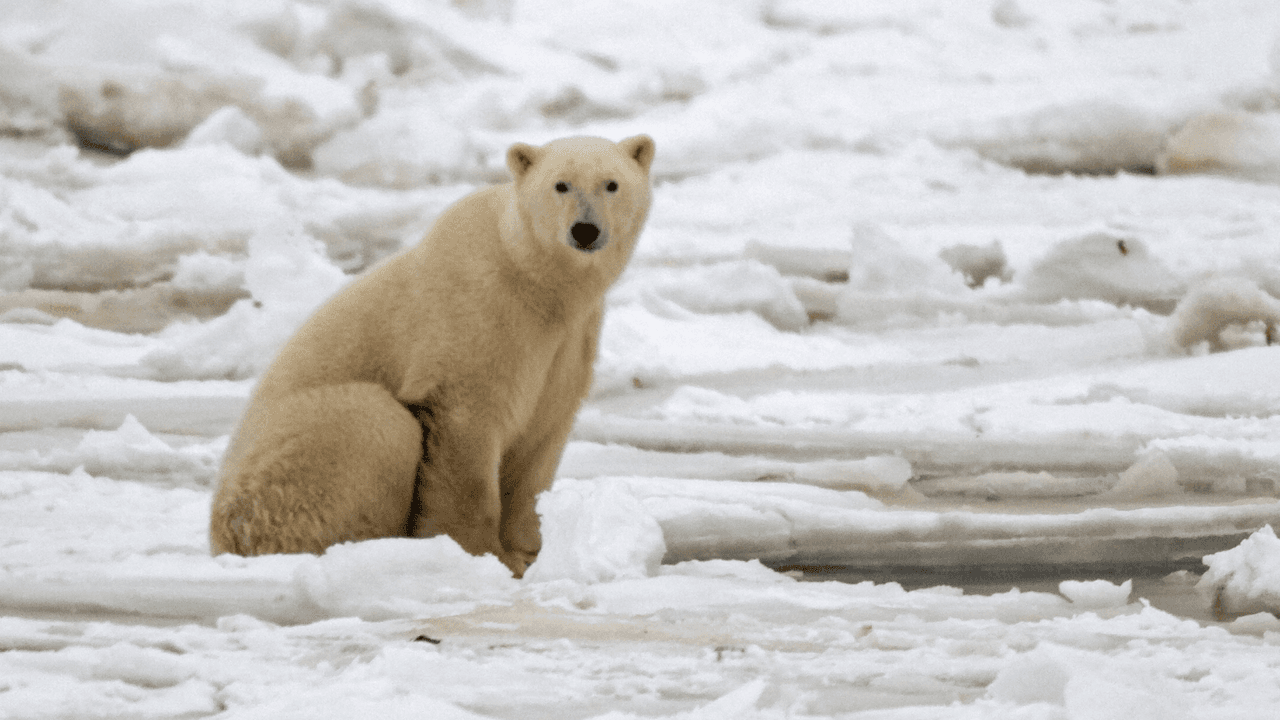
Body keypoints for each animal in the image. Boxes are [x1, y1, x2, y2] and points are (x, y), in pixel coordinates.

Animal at [209, 134, 655, 578]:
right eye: (561, 184)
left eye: (611, 184)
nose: (585, 230)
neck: (535, 280)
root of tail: (222, 538)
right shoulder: (478, 316)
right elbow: (465, 435)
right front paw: (486, 554)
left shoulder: (568, 343)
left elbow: (541, 437)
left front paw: (531, 549)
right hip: (278, 470)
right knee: (372, 418)